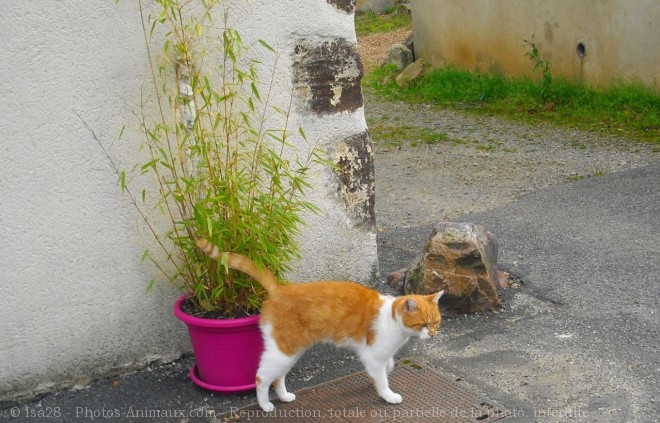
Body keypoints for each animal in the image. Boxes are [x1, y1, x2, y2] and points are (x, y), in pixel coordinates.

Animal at [196, 240, 444, 412]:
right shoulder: (372, 355)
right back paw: (265, 405)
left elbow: (387, 367)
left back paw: (284, 396)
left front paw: (385, 373)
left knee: (277, 377)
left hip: (291, 351)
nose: (432, 334)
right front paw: (388, 395)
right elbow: (382, 380)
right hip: (282, 351)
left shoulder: (377, 355)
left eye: (436, 323)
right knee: (261, 377)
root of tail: (280, 289)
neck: (392, 321)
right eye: (423, 324)